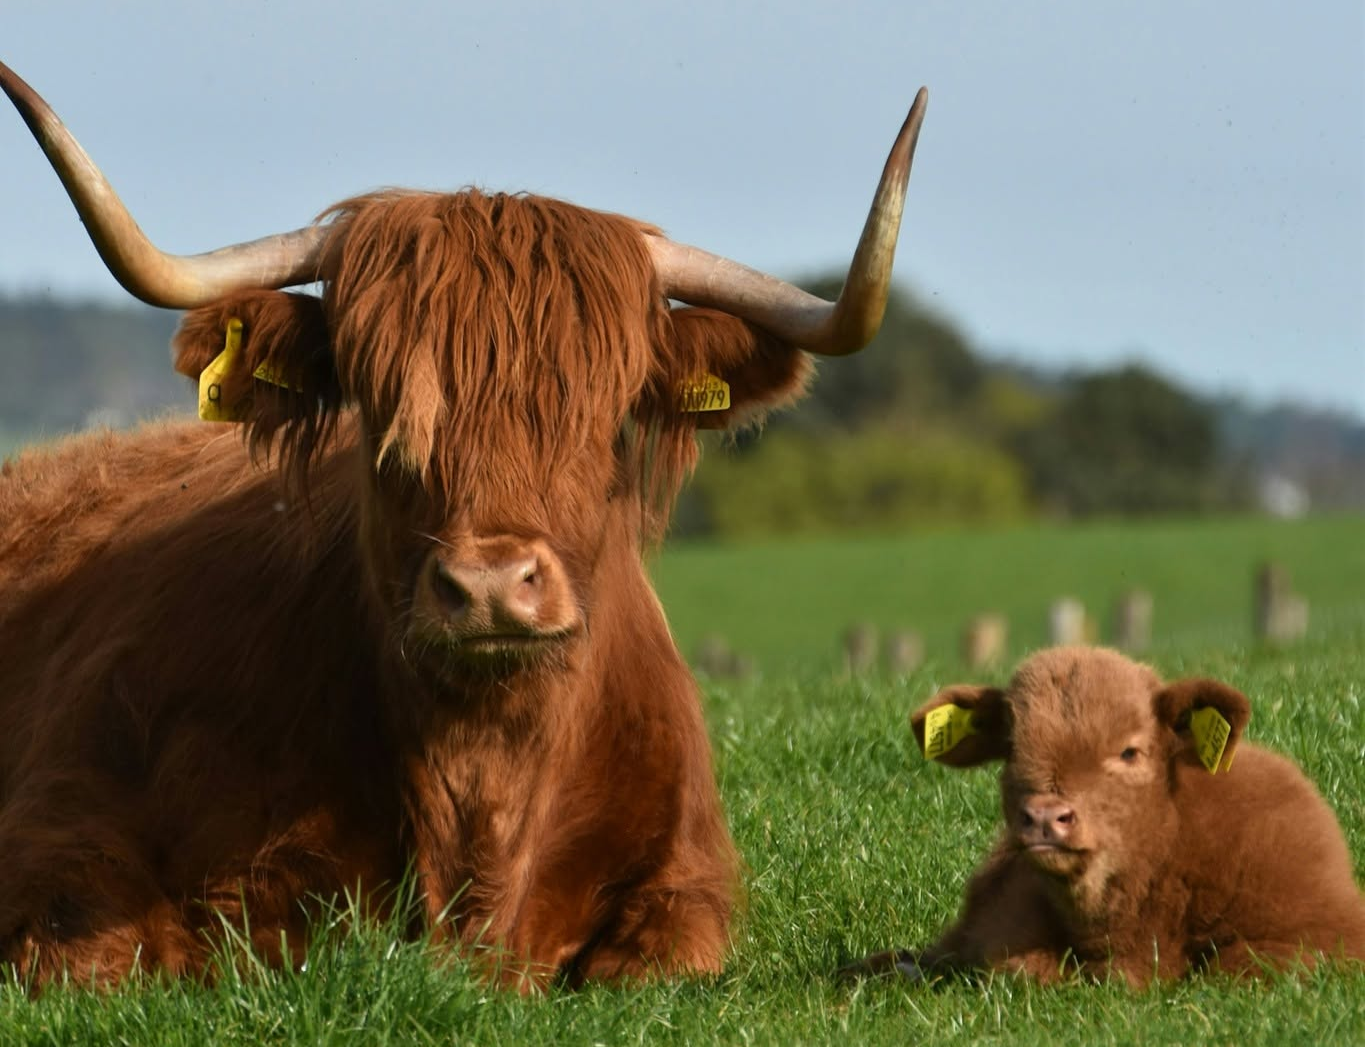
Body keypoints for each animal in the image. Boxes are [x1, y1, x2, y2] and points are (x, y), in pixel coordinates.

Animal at [0, 60, 926, 988]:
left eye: (605, 418)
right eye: (384, 411)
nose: (488, 587)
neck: (483, 786)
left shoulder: (686, 875)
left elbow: (663, 956)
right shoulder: (69, 826)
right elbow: (111, 951)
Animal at [841, 647, 1365, 985]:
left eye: (1130, 751)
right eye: (1010, 748)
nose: (1045, 816)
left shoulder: (1326, 933)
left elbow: (1236, 966)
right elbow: (1021, 966)